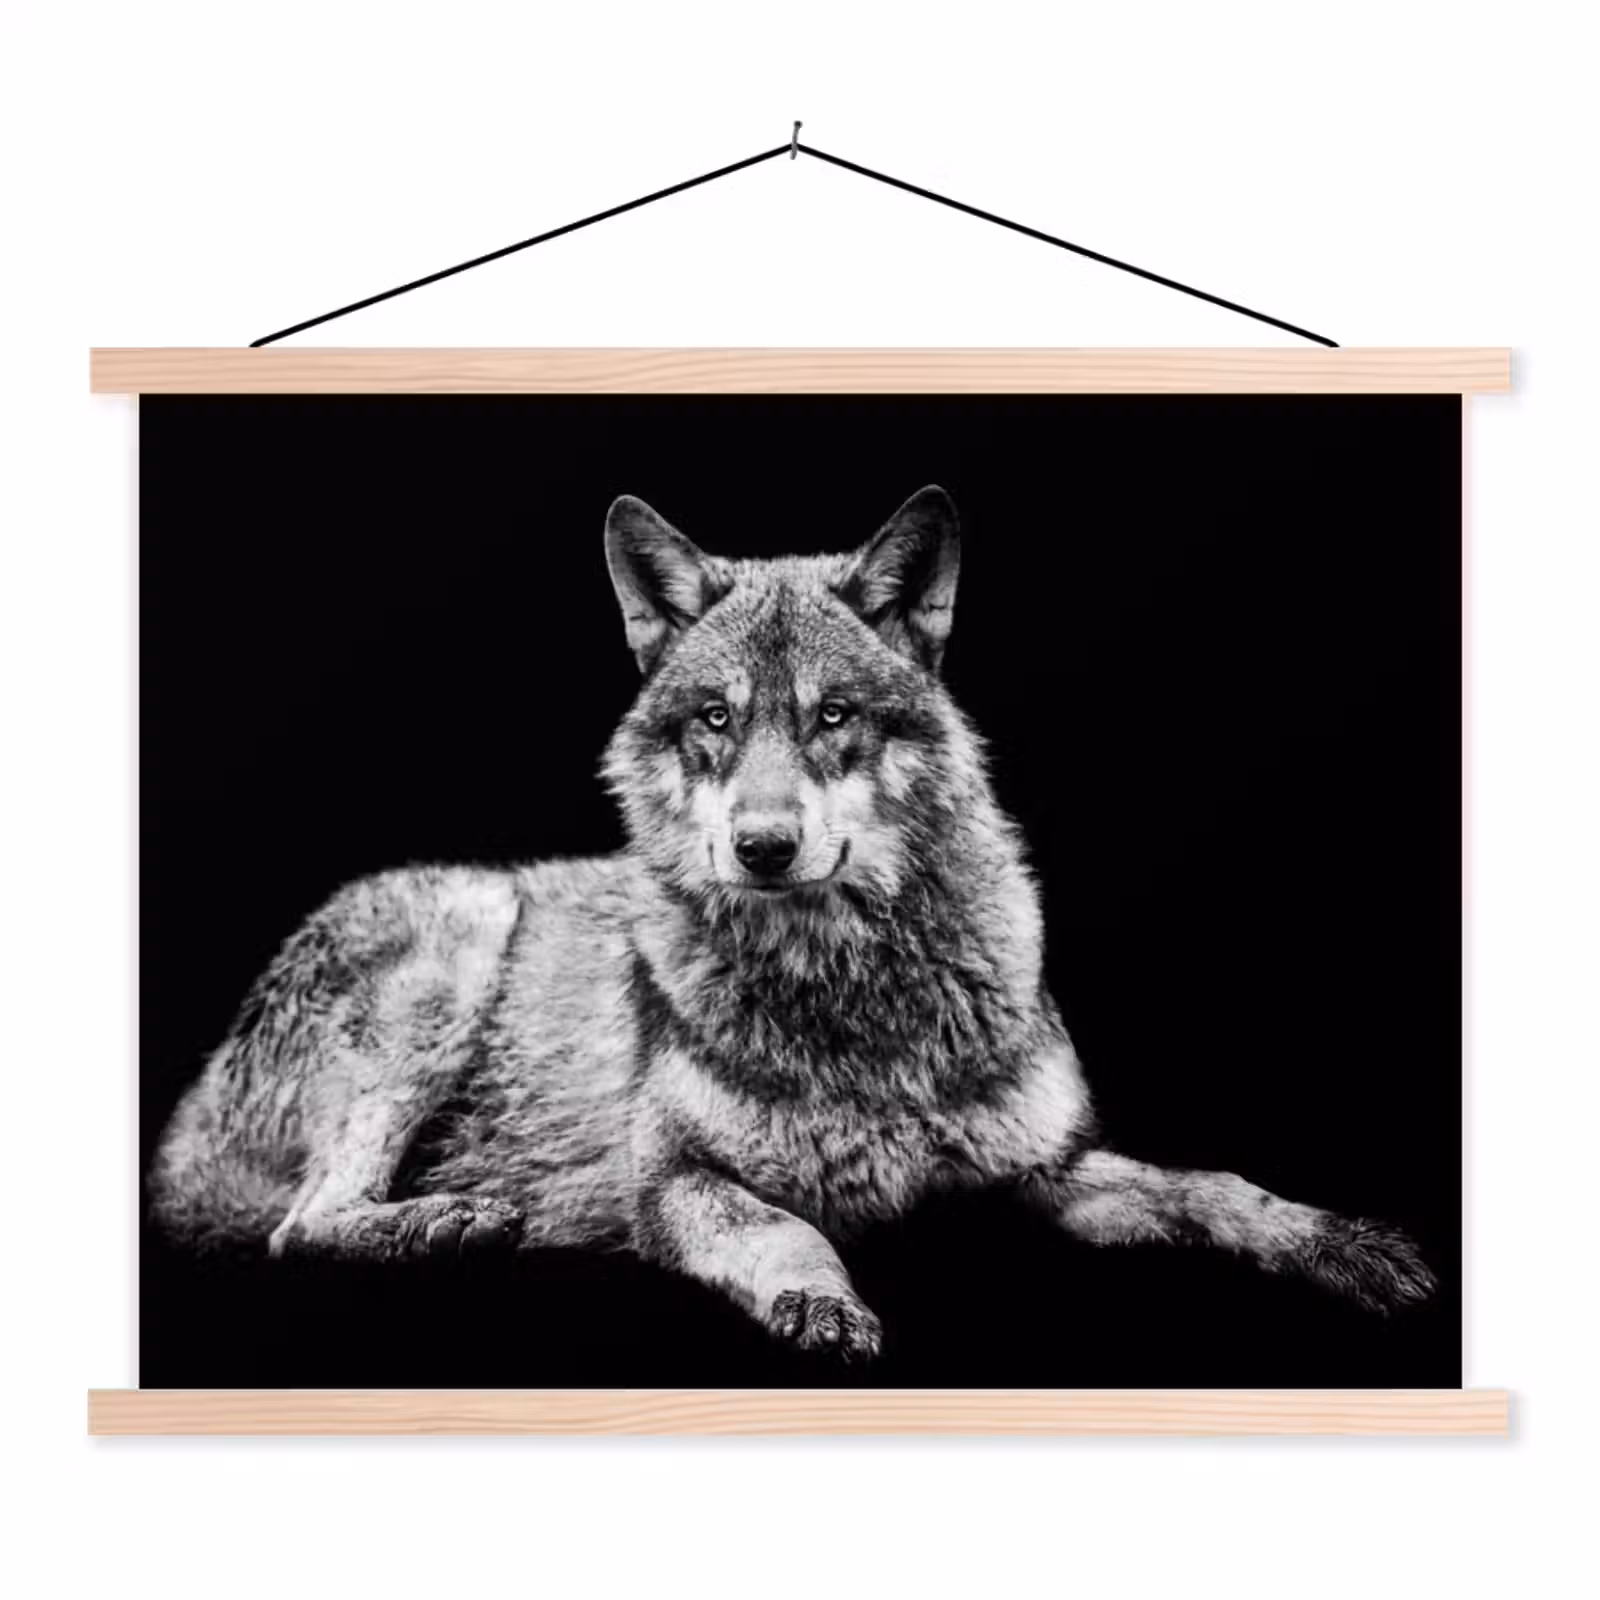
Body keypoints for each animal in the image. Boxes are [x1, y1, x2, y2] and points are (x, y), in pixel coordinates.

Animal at [150, 485, 1435, 1359]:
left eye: (832, 717)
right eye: (716, 719)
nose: (762, 846)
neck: (855, 998)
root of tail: (189, 1116)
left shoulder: (1047, 1168)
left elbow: (1216, 1186)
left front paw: (1344, 1243)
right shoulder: (673, 1183)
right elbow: (785, 1230)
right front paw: (821, 1301)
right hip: (456, 941)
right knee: (299, 1225)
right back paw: (446, 1222)